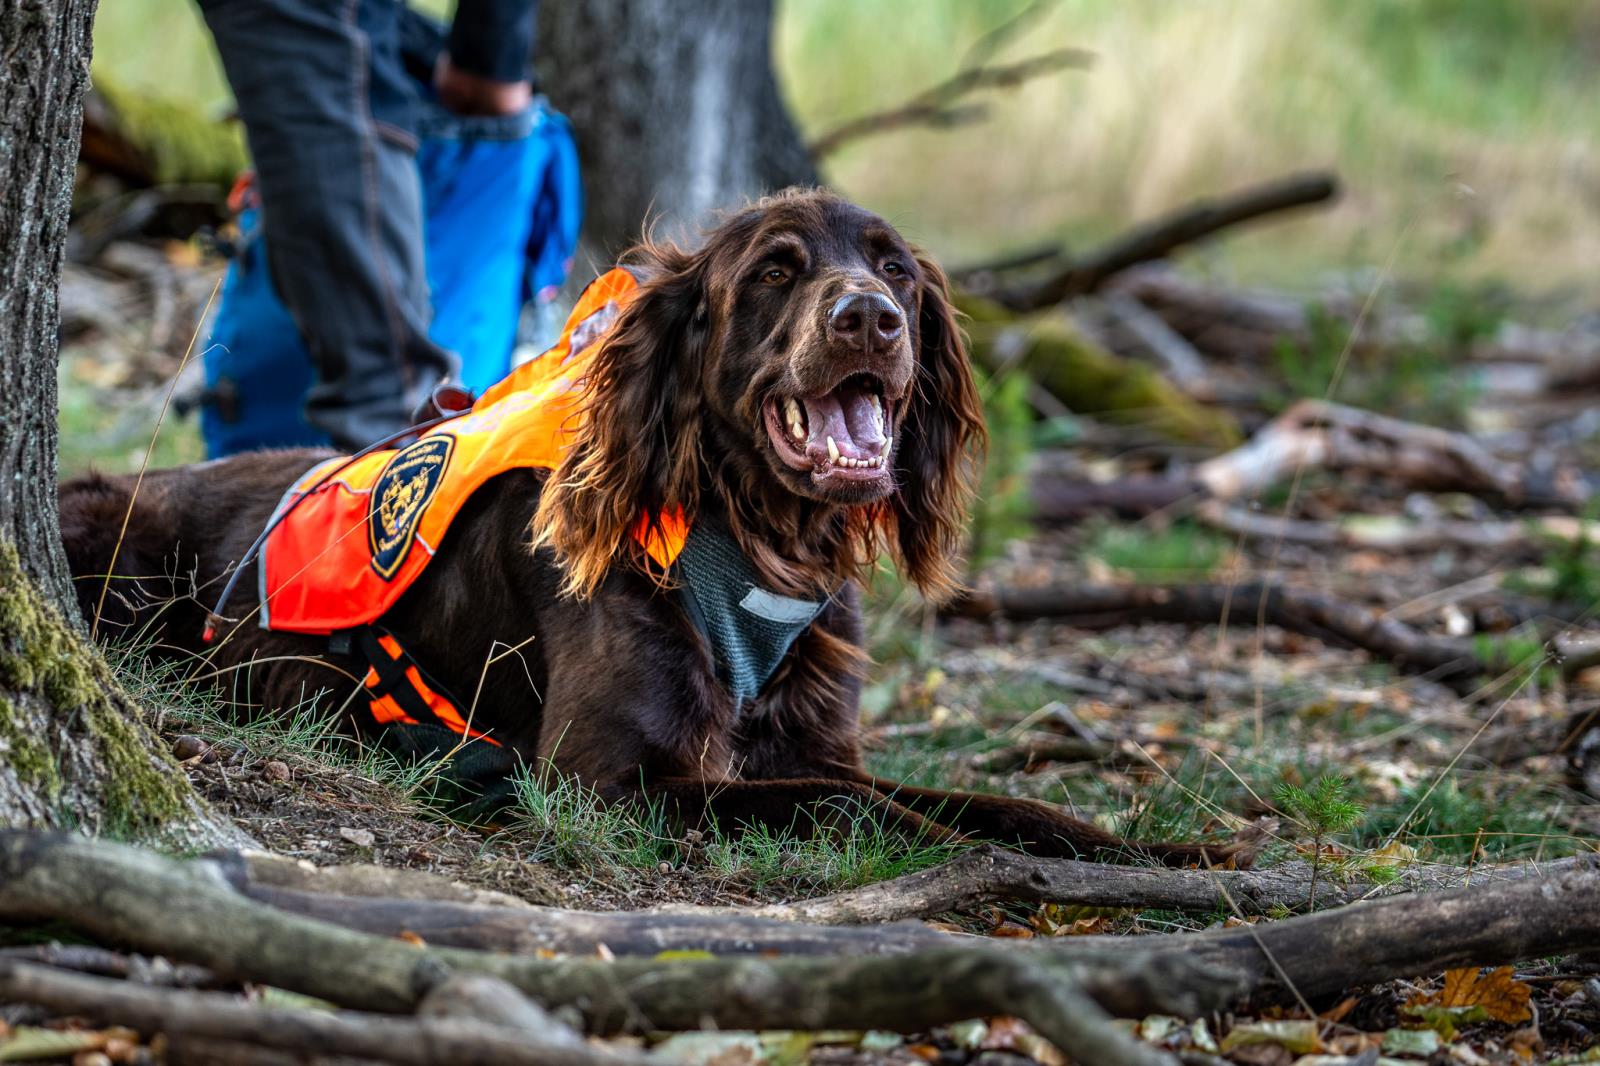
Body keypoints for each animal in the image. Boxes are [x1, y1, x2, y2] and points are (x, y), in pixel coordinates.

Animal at [62, 184, 1228, 864]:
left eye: (895, 267)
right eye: (776, 270)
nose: (872, 319)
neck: (757, 544)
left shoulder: (816, 742)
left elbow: (988, 803)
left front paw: (1171, 857)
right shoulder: (608, 781)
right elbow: (860, 811)